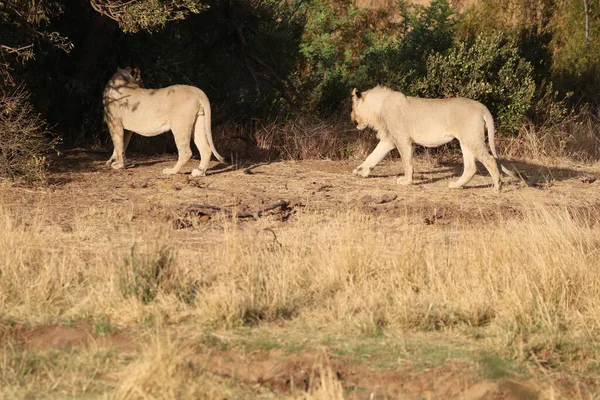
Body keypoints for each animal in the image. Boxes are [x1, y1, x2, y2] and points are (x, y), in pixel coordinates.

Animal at [352, 85, 520, 191]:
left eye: (352, 108)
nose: (352, 120)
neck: (378, 107)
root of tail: (482, 107)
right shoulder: (389, 139)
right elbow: (374, 155)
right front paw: (361, 171)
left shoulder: (402, 138)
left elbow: (407, 162)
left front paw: (406, 181)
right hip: (465, 141)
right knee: (471, 167)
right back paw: (456, 185)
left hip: (472, 139)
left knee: (490, 160)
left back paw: (497, 187)